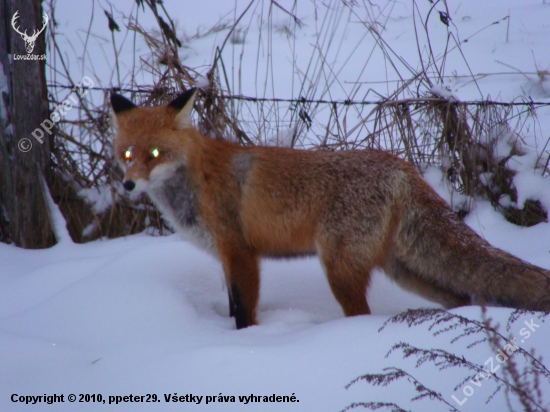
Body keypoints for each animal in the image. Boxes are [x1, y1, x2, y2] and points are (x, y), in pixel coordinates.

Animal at [112, 89, 550, 328]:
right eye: (128, 154)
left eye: (155, 154)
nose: (128, 184)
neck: (196, 180)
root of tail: (402, 167)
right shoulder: (227, 256)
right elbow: (235, 306)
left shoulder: (240, 252)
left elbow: (244, 313)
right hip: (405, 270)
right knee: (460, 298)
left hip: (340, 267)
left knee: (362, 315)